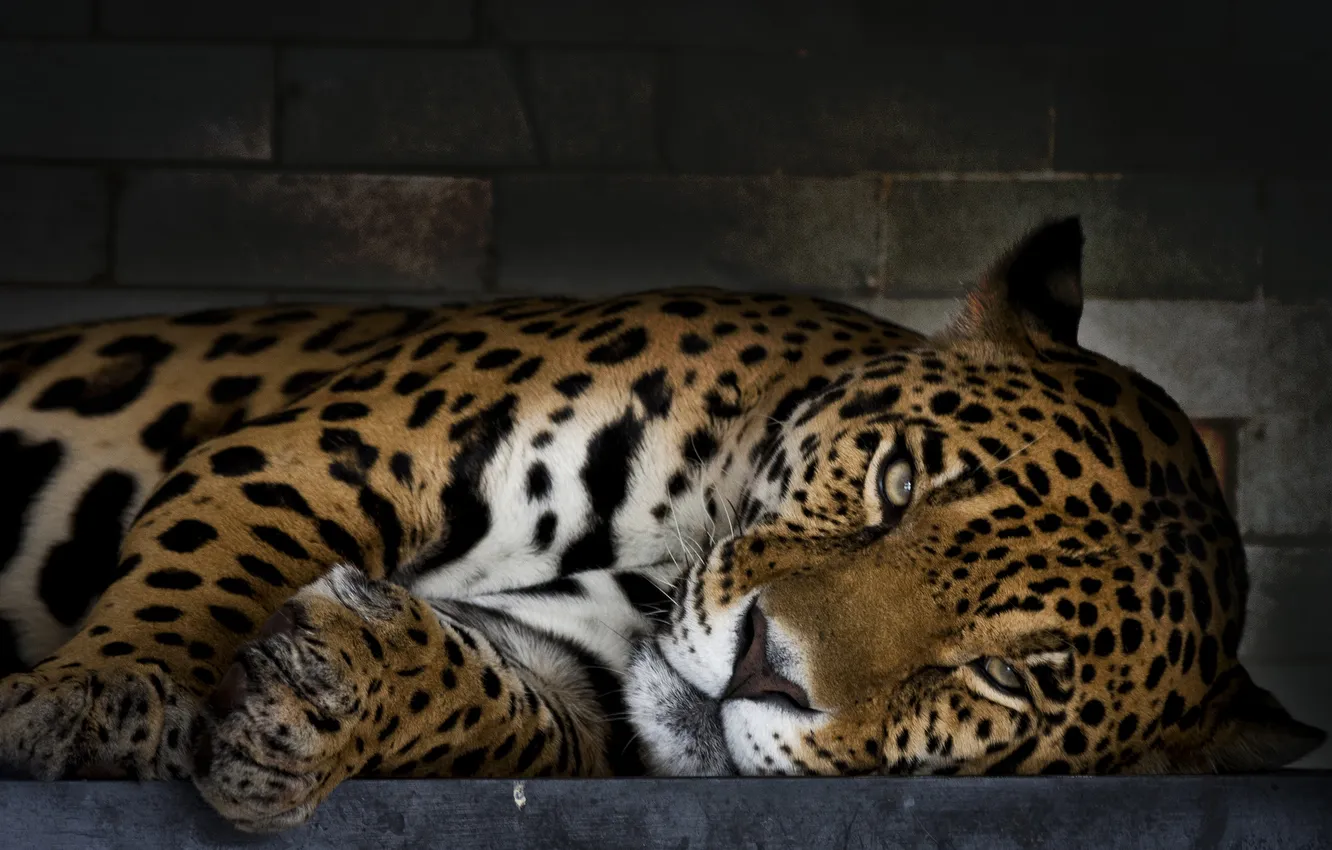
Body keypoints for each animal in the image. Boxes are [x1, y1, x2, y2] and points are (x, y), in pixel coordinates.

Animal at [0, 218, 1322, 832]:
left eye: (1009, 676)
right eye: (898, 482)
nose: (765, 666)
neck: (668, 541)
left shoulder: (573, 682)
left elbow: (497, 708)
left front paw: (324, 696)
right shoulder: (327, 450)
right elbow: (199, 575)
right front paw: (105, 698)